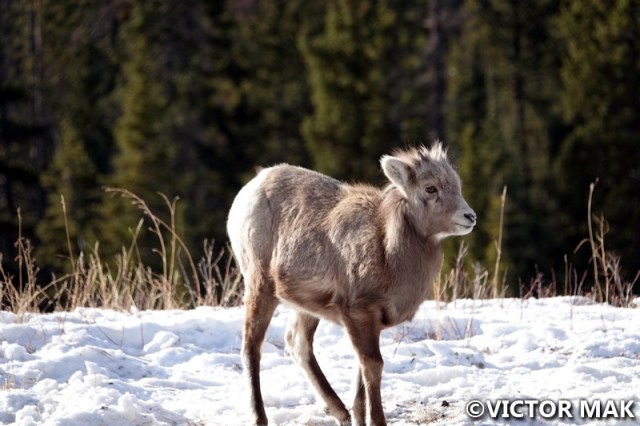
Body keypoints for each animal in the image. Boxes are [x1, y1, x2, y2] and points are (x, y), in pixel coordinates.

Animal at [227, 142, 476, 426]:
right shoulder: (359, 312)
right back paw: (259, 417)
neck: (387, 252)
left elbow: (361, 374)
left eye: (457, 185)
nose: (470, 216)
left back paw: (340, 412)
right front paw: (377, 420)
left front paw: (357, 416)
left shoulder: (368, 320)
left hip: (305, 305)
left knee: (297, 343)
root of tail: (252, 186)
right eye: (430, 188)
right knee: (252, 346)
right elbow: (373, 366)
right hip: (259, 284)